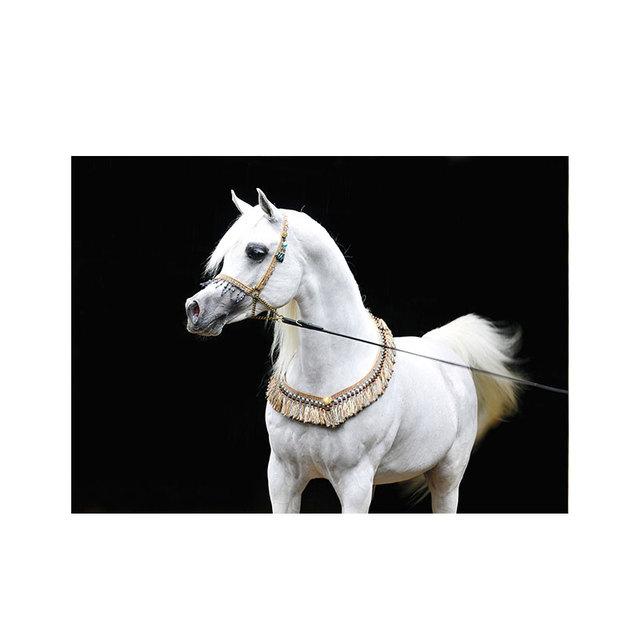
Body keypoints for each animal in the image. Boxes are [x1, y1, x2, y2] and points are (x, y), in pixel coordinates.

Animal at [185, 188, 521, 513]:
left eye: (255, 251)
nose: (195, 309)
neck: (331, 371)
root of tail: (442, 346)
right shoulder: (282, 478)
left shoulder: (355, 483)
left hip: (447, 475)